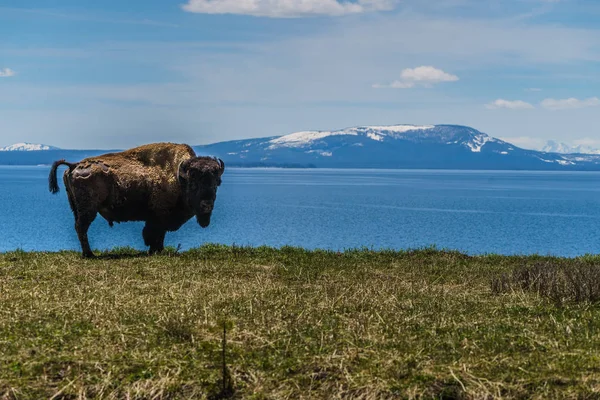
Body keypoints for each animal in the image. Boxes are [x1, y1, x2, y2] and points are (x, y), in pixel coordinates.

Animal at [49, 142, 225, 258]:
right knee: (81, 227)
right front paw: (155, 250)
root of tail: (74, 165)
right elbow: (155, 234)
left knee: (79, 227)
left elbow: (158, 234)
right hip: (89, 210)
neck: (178, 176)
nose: (207, 205)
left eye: (216, 183)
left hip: (76, 208)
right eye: (193, 184)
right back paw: (89, 254)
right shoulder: (160, 216)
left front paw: (158, 250)